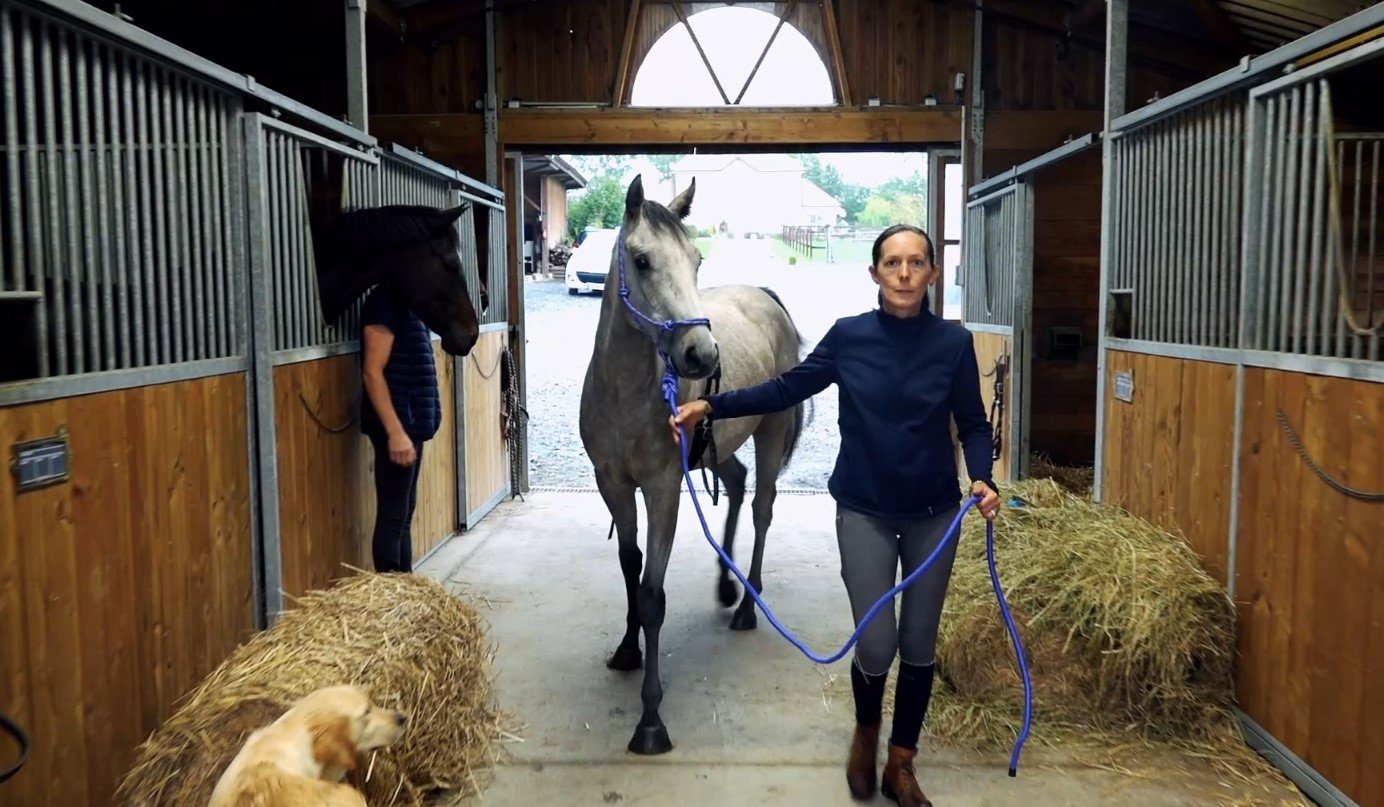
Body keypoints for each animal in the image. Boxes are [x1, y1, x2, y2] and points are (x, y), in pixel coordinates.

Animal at [578, 175, 808, 755]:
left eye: (696, 259)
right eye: (640, 260)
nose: (702, 355)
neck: (626, 394)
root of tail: (765, 296)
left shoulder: (663, 490)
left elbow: (652, 595)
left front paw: (650, 719)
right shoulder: (613, 486)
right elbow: (630, 568)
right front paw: (627, 650)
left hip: (770, 433)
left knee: (763, 508)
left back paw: (747, 606)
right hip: (714, 448)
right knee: (739, 486)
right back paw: (727, 587)